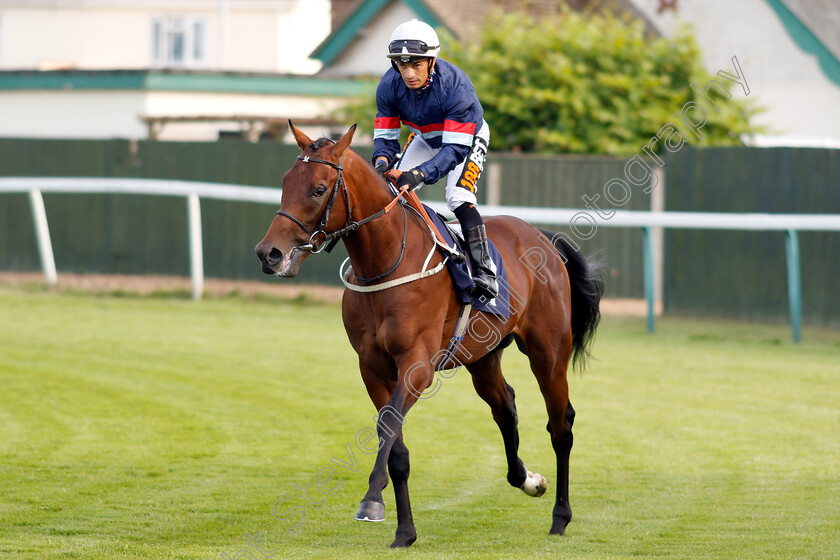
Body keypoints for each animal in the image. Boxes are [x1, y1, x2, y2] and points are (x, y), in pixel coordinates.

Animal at [253, 121, 600, 548]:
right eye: (286, 181)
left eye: (318, 189)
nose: (269, 253)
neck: (385, 264)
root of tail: (541, 238)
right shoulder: (372, 368)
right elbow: (395, 445)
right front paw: (404, 530)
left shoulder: (416, 366)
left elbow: (388, 428)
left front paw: (371, 501)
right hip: (483, 356)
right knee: (505, 407)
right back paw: (528, 479)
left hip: (548, 352)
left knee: (560, 426)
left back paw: (560, 517)